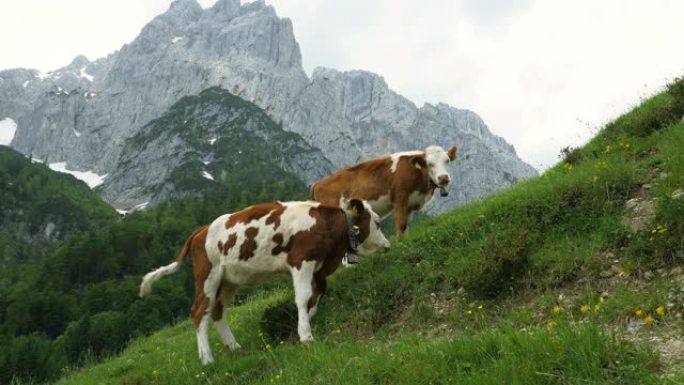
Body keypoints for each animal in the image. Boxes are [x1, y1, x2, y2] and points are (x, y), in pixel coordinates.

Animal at [138, 198, 390, 364]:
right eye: (378, 223)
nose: (388, 245)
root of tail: (201, 230)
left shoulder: (318, 266)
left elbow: (317, 293)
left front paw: (306, 320)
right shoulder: (301, 261)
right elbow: (303, 297)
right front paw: (306, 335)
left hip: (228, 281)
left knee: (218, 311)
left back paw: (234, 347)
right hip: (208, 276)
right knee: (200, 311)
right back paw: (207, 358)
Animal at [310, 146, 460, 238]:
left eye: (447, 161)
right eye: (429, 164)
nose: (443, 178)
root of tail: (318, 183)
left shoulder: (410, 204)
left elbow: (406, 226)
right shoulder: (399, 198)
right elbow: (401, 224)